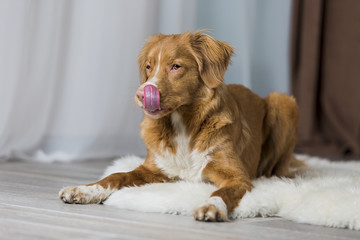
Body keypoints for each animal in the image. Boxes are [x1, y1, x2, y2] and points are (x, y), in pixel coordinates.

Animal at [59, 31, 298, 222]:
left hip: (283, 101)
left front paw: (211, 206)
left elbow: (222, 193)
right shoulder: (153, 170)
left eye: (175, 66)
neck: (182, 125)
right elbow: (117, 175)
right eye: (148, 66)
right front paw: (85, 190)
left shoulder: (237, 176)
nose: (141, 94)